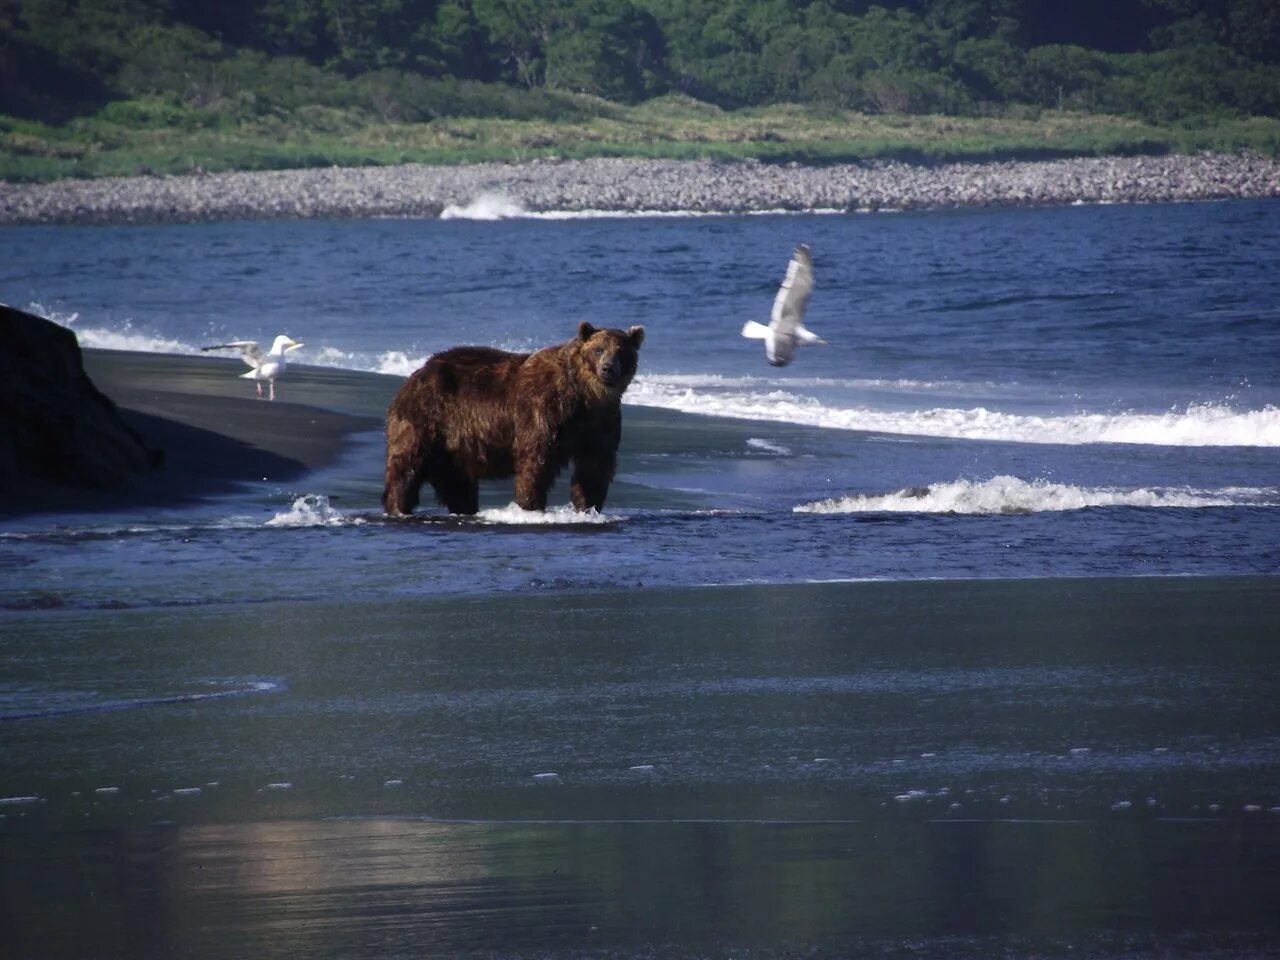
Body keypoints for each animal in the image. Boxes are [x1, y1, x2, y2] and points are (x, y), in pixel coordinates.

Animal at [376, 321, 640, 519]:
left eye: (621, 351)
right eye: (598, 349)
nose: (608, 368)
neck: (584, 395)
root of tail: (413, 377)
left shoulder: (600, 423)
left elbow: (594, 467)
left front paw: (588, 507)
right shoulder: (544, 411)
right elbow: (536, 460)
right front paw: (530, 506)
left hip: (453, 447)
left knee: (456, 483)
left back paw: (465, 510)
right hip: (426, 420)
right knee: (406, 466)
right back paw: (398, 507)